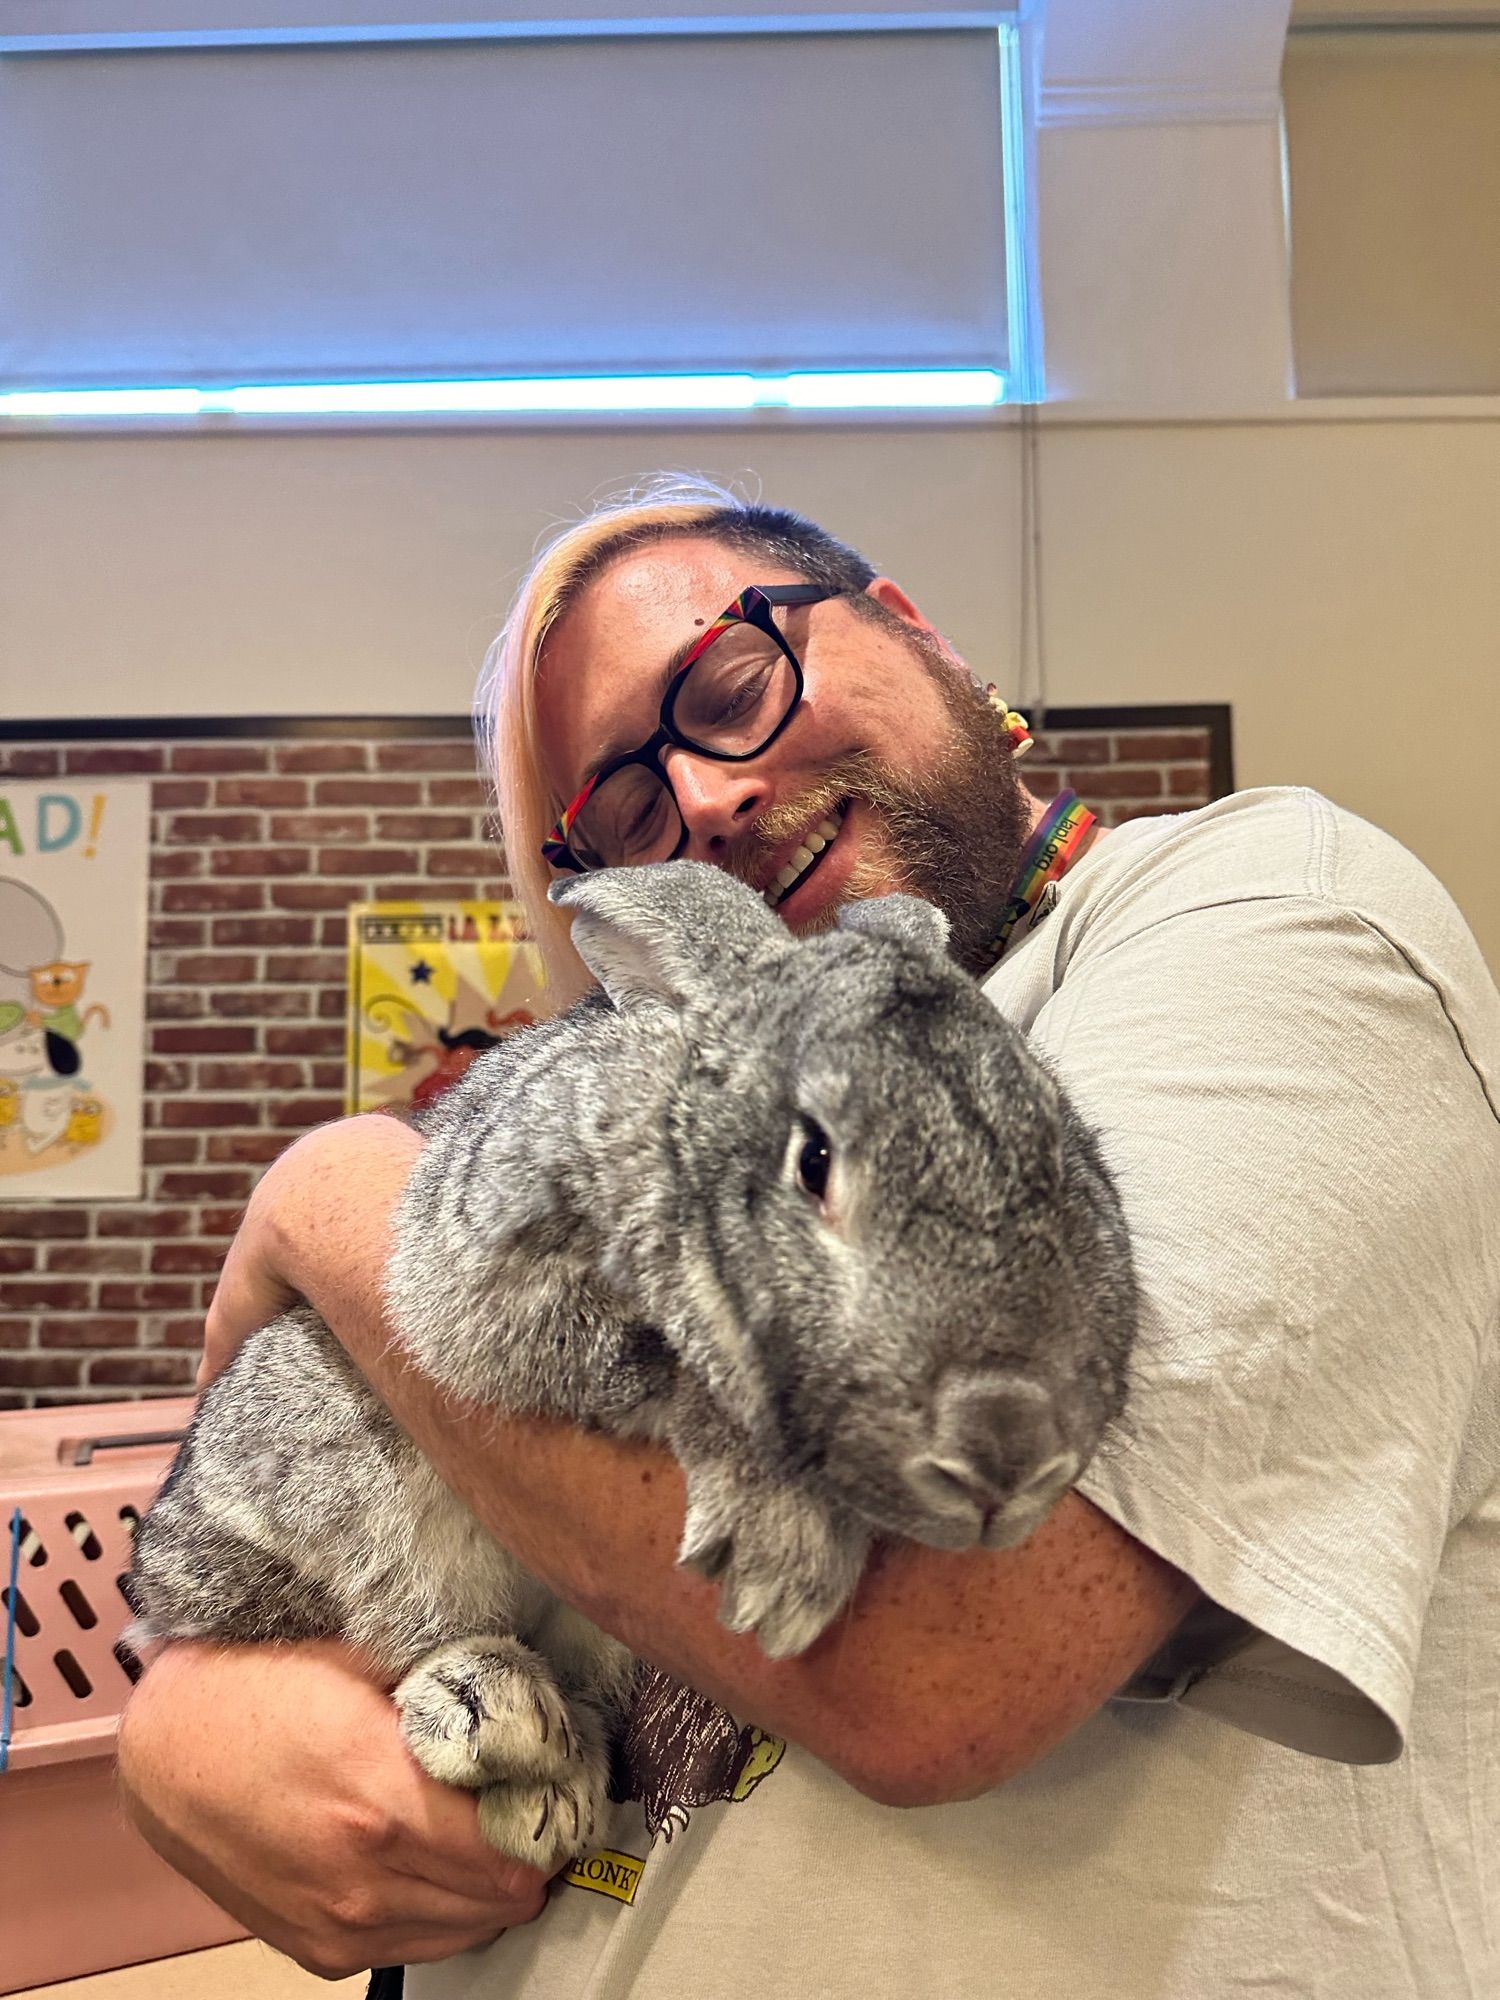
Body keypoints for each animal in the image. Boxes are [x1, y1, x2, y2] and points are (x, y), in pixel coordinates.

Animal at [132, 864, 1136, 1872]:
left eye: (1064, 1140)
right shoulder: (491, 1281)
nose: (1010, 1456)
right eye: (813, 1162)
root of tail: (161, 1583)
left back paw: (554, 1794)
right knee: (408, 1625)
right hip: (345, 1468)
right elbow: (675, 1372)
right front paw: (783, 1560)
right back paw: (501, 1725)